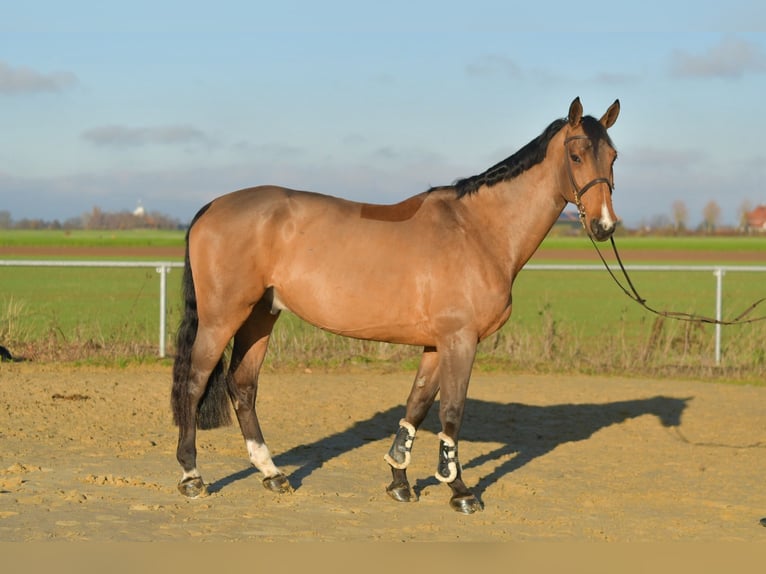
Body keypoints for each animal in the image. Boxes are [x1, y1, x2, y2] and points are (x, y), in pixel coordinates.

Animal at [171, 97, 621, 514]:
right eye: (576, 155)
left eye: (613, 157)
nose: (604, 226)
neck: (477, 230)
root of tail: (211, 206)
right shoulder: (460, 340)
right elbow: (451, 413)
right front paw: (460, 492)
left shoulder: (437, 344)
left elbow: (416, 407)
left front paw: (399, 481)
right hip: (223, 317)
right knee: (195, 383)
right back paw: (192, 477)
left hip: (260, 316)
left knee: (243, 385)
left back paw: (272, 474)